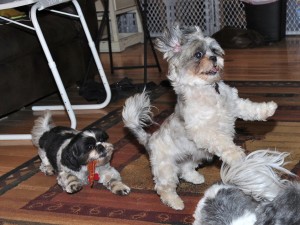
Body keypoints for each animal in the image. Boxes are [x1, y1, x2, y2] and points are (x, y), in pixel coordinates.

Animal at [122, 23, 276, 210]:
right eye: (198, 55)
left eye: (214, 50)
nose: (214, 58)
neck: (208, 90)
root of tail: (149, 140)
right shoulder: (203, 131)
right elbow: (222, 142)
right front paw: (234, 155)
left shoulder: (233, 105)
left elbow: (249, 108)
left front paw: (268, 109)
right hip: (166, 168)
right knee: (164, 187)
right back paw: (175, 202)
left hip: (193, 155)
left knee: (186, 170)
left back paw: (195, 178)